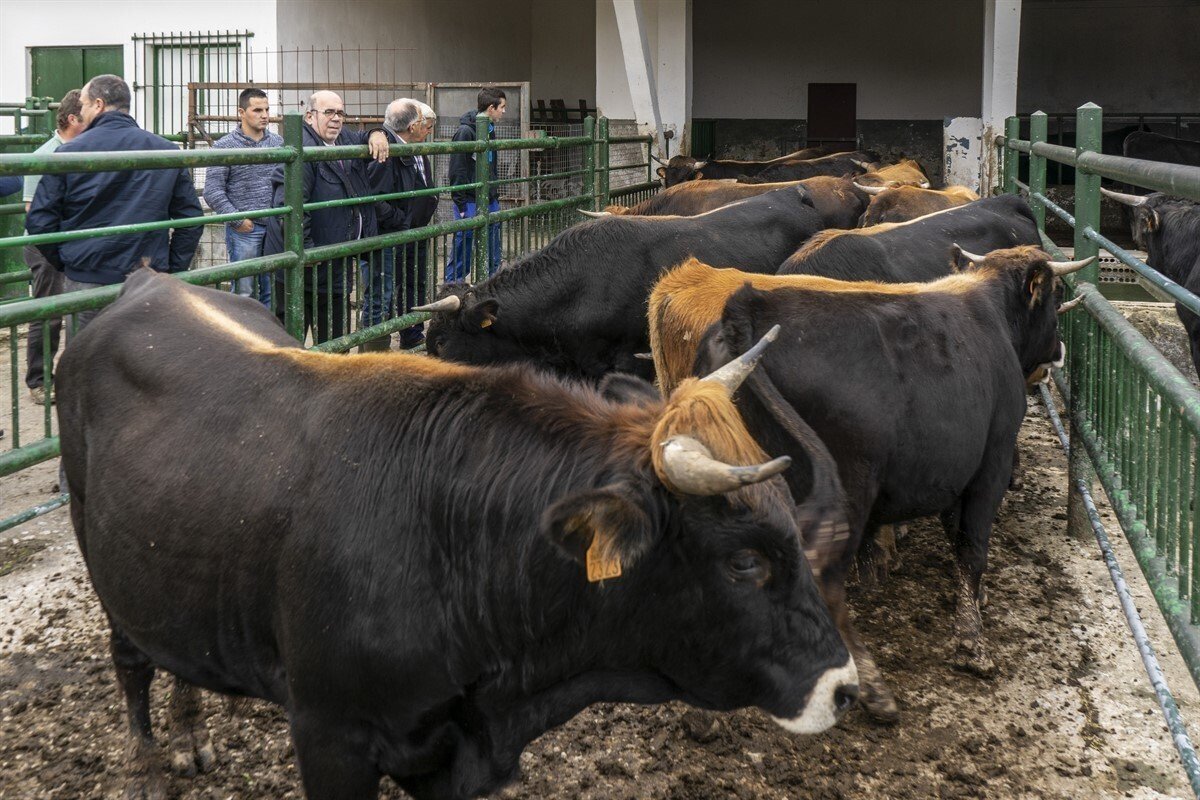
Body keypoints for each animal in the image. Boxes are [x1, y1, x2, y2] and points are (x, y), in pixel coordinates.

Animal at [59, 269, 859, 800]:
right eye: (745, 562)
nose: (845, 687)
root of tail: (150, 282)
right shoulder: (327, 735)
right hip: (100, 550)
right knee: (130, 659)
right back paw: (151, 766)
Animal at [654, 247, 1092, 722]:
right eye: (1054, 296)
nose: (1059, 348)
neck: (989, 310)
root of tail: (749, 308)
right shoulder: (990, 463)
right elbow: (972, 547)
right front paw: (971, 644)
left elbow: (955, 537)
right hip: (846, 493)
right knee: (823, 581)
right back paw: (872, 687)